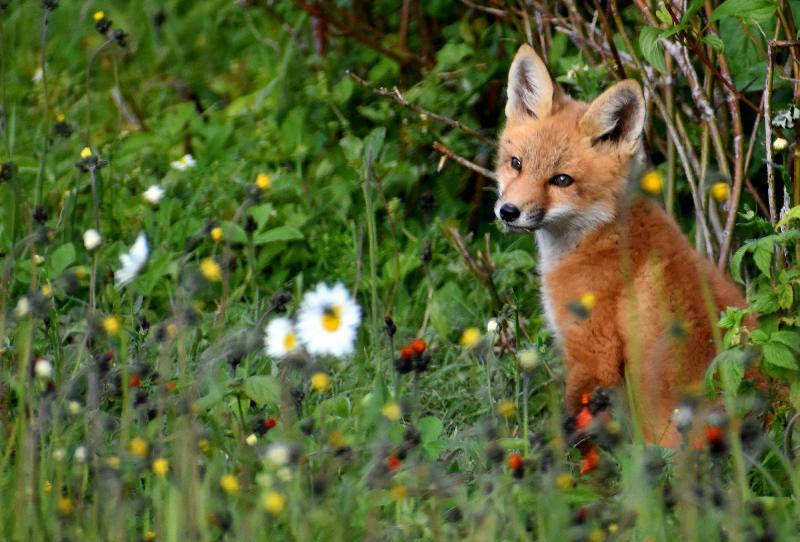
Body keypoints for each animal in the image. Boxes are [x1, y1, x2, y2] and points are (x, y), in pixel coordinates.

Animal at [494, 45, 752, 446]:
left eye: (562, 180)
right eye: (516, 163)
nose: (508, 212)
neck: (599, 235)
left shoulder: (592, 352)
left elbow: (573, 436)